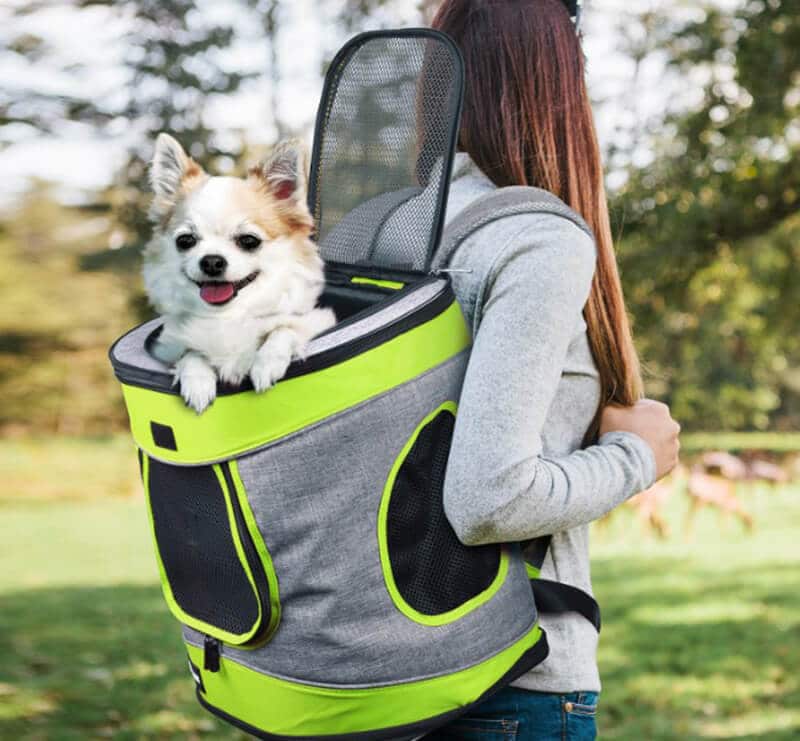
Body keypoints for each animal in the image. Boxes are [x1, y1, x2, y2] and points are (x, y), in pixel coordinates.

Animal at [142, 132, 336, 410]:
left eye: (248, 241)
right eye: (185, 241)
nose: (212, 261)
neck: (227, 316)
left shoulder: (319, 320)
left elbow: (284, 329)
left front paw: (267, 363)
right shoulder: (169, 346)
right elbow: (191, 352)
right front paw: (197, 381)